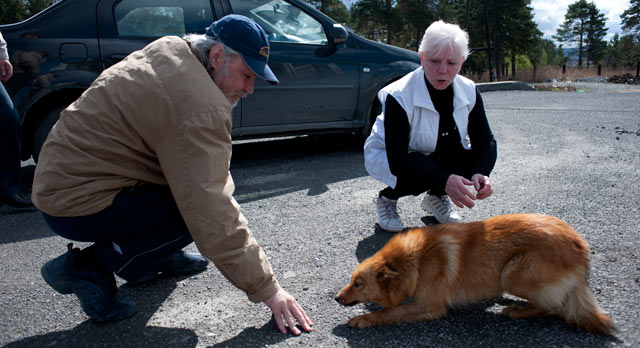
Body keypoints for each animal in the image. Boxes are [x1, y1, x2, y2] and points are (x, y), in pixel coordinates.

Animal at [332, 213, 612, 334]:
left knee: (555, 306)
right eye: (351, 281)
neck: (415, 260)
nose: (336, 298)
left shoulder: (430, 306)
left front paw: (364, 319)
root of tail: (580, 248)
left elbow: (389, 312)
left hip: (511, 273)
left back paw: (518, 310)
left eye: (358, 284)